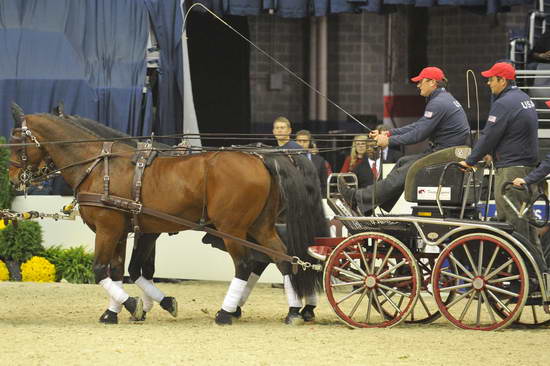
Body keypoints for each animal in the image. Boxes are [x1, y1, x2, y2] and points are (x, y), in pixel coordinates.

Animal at [7, 104, 328, 324]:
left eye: (16, 141)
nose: (12, 179)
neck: (101, 165)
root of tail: (263, 157)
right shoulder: (128, 230)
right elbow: (124, 271)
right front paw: (123, 310)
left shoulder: (110, 229)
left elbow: (103, 270)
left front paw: (134, 305)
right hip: (260, 225)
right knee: (283, 258)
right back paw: (292, 310)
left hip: (233, 228)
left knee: (247, 264)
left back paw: (227, 312)